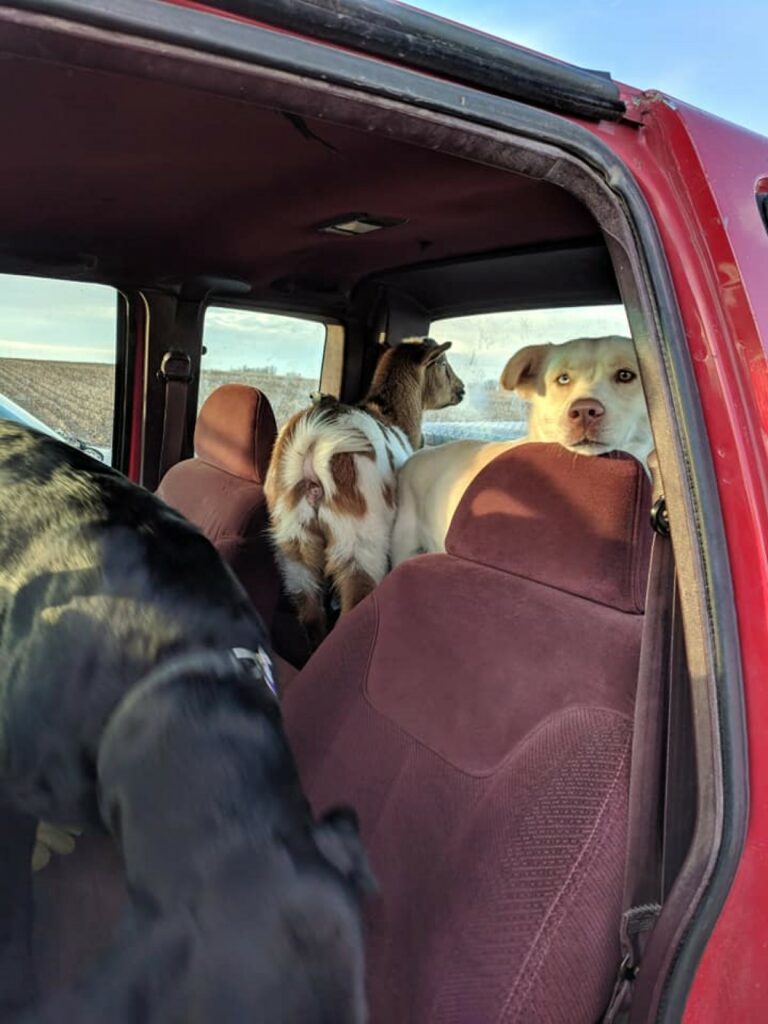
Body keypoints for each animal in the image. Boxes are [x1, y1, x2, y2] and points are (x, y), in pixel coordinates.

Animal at [264, 337, 468, 647]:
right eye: (443, 363)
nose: (462, 389)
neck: (392, 415)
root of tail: (314, 440)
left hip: (292, 539)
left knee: (309, 607)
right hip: (360, 539)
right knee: (354, 599)